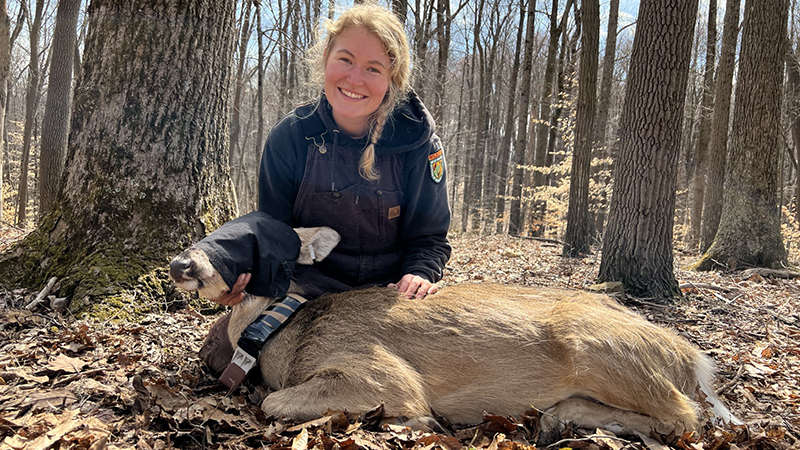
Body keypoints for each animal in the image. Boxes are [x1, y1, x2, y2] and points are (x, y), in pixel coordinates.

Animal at [172, 227, 740, 444]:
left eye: (248, 242)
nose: (181, 263)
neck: (285, 336)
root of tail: (692, 358)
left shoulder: (377, 373)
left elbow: (274, 403)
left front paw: (418, 420)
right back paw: (558, 417)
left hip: (602, 350)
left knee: (683, 416)